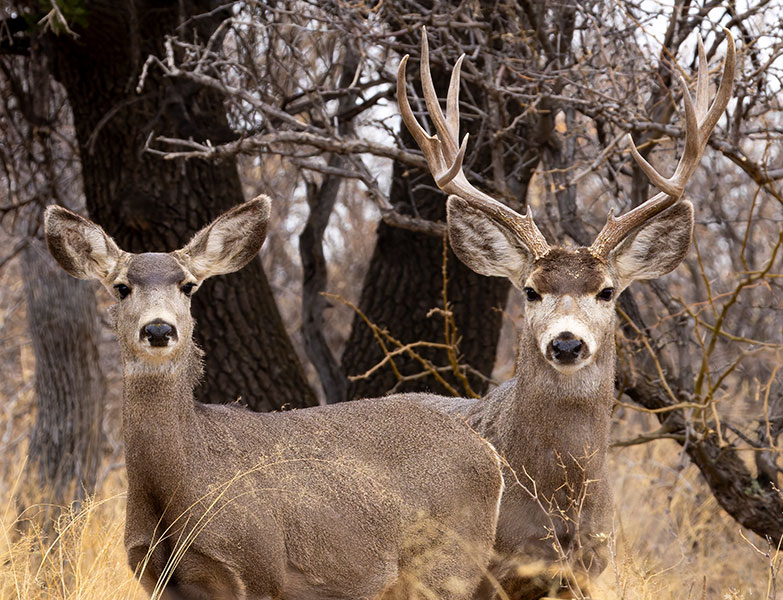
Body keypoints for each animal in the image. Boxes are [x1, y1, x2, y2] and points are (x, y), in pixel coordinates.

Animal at [44, 196, 506, 600]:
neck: (177, 482)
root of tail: (487, 452)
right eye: (122, 287)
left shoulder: (257, 566)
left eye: (188, 286)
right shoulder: (156, 577)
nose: (158, 329)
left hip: (450, 563)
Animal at [396, 27, 735, 598]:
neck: (558, 501)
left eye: (607, 292)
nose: (567, 342)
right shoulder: (484, 570)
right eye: (531, 291)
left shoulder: (588, 569)